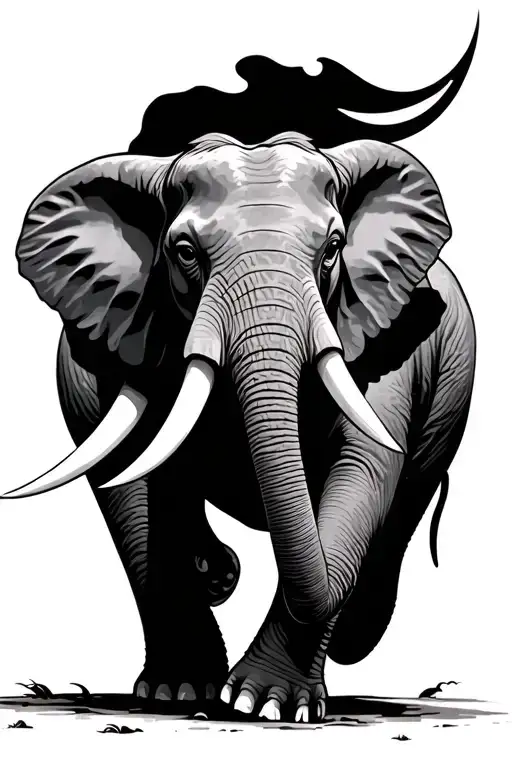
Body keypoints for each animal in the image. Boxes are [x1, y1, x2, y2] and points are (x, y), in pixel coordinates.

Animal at [3, 129, 475, 722]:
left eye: (333, 249)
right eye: (185, 253)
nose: (220, 571)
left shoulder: (385, 349)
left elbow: (361, 471)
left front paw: (264, 705)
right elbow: (129, 484)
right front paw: (181, 691)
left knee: (403, 503)